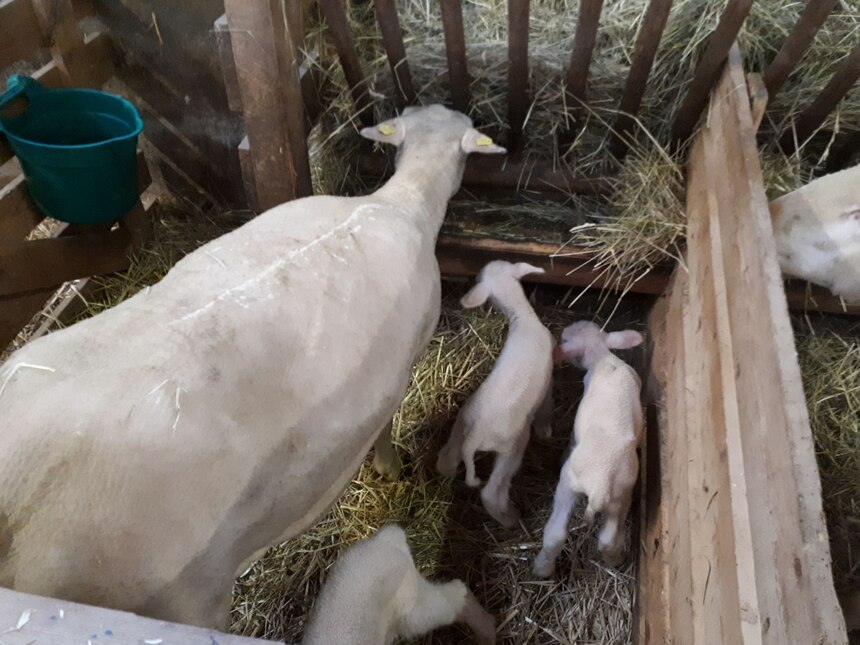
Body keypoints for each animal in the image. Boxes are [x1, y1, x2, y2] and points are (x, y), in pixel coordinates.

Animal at [0, 103, 504, 628]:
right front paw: (389, 468)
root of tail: (14, 493)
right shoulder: (405, 362)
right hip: (176, 599)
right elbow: (385, 425)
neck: (402, 201)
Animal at [436, 260, 552, 528]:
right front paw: (545, 430)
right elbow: (547, 405)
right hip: (511, 446)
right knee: (491, 492)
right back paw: (511, 518)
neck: (523, 318)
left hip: (460, 426)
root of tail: (474, 438)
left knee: (446, 459)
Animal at [532, 320, 644, 576]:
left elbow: (572, 438)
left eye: (565, 340)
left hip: (569, 483)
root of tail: (601, 486)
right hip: (621, 497)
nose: (563, 332)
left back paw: (541, 569)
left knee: (556, 533)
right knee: (608, 539)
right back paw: (615, 560)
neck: (603, 357)